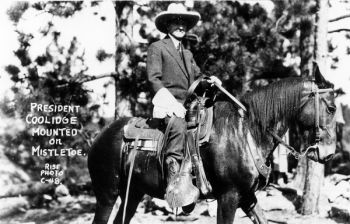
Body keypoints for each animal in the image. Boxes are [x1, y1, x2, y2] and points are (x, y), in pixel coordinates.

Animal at [87, 68, 336, 224]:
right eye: (332, 108)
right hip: (107, 194)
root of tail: (99, 136)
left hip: (133, 193)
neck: (246, 132)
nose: (328, 154)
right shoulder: (228, 196)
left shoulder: (247, 197)